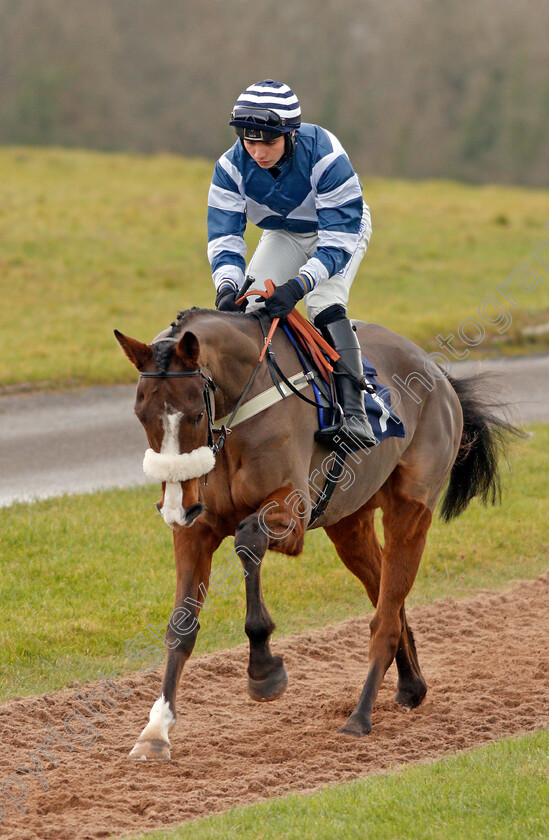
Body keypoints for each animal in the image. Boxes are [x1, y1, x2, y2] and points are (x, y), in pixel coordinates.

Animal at [114, 308, 520, 760]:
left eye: (196, 415)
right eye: (141, 414)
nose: (173, 507)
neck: (240, 410)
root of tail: (439, 376)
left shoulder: (291, 515)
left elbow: (247, 540)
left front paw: (263, 668)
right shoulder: (197, 527)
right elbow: (181, 627)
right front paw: (155, 731)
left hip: (412, 509)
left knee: (385, 616)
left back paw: (360, 716)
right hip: (351, 524)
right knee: (387, 598)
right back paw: (410, 686)